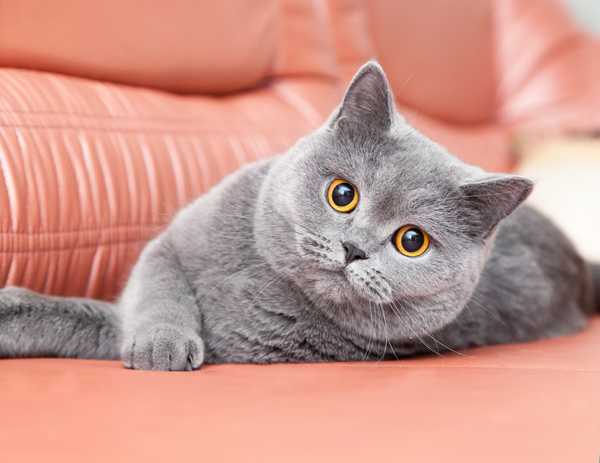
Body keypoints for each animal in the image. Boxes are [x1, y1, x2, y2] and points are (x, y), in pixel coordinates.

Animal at [1, 61, 600, 372]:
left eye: (412, 241)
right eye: (343, 195)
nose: (354, 248)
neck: (258, 272)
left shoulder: (238, 347)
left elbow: (98, 323)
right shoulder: (171, 244)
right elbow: (158, 286)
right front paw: (161, 339)